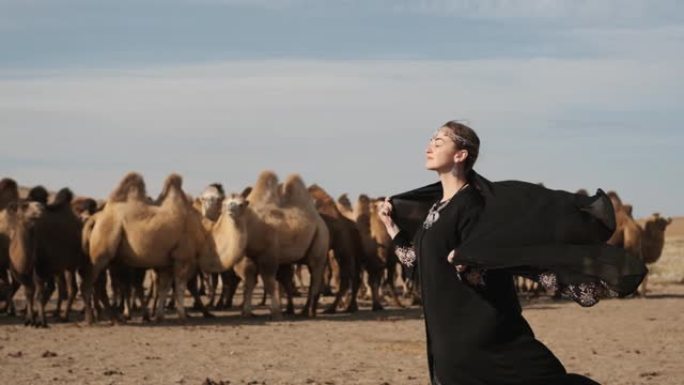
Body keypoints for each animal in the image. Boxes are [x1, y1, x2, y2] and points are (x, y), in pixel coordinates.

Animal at [240, 171, 332, 318]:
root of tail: (321, 222)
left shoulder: (269, 255)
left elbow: (269, 282)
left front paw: (275, 312)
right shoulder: (249, 256)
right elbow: (249, 283)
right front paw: (246, 312)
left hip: (320, 239)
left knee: (315, 274)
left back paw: (309, 312)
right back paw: (304, 311)